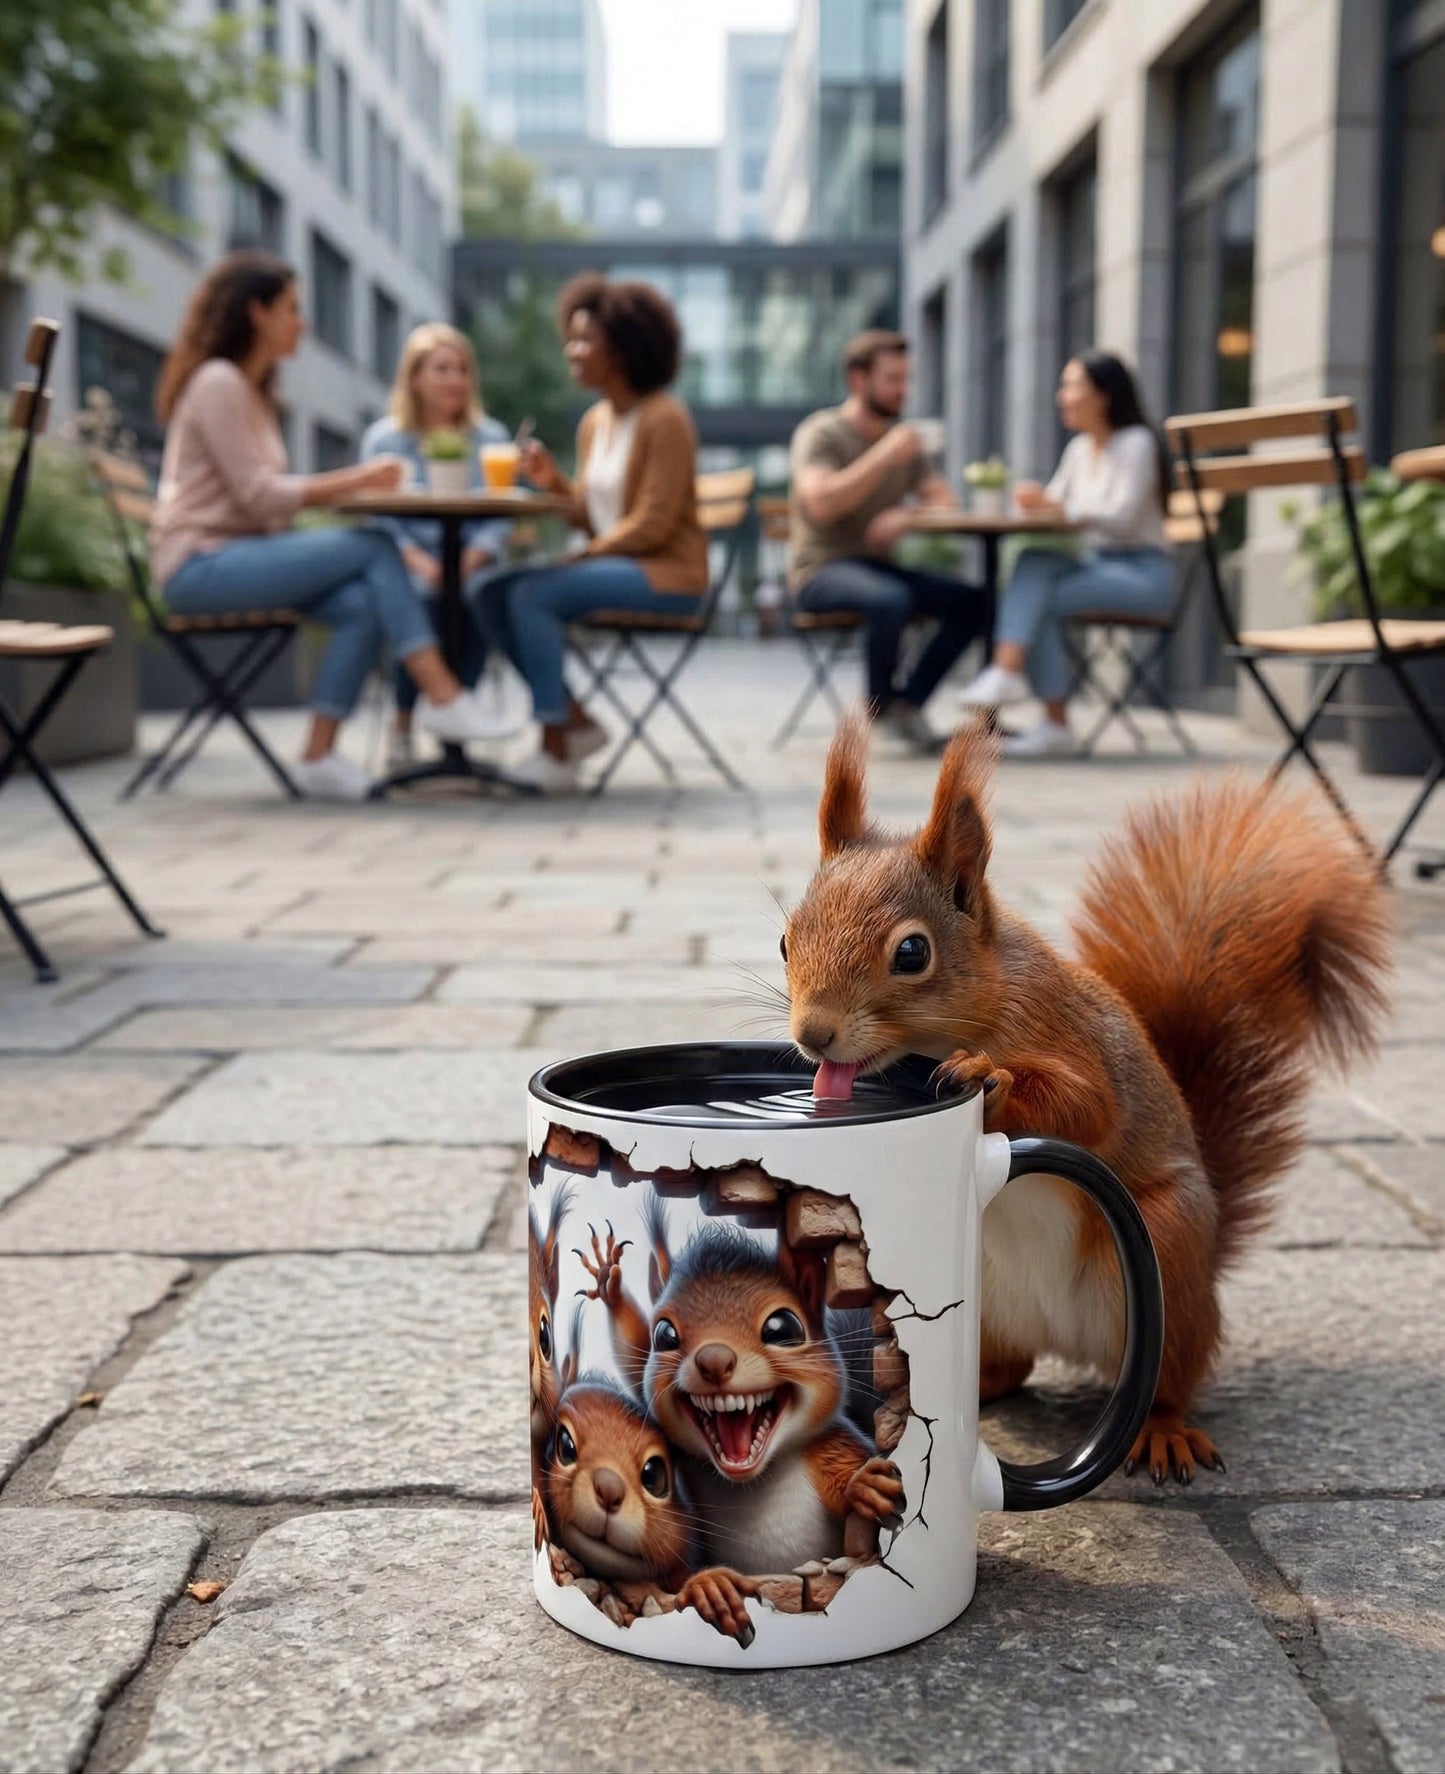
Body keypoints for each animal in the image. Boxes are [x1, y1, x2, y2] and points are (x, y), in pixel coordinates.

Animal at [579, 1202, 906, 1575]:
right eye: (664, 1335)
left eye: (783, 1328)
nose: (713, 1360)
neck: (751, 1480)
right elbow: (632, 1358)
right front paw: (610, 1283)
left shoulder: (830, 1451)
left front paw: (864, 1485)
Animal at [781, 713, 1392, 1483]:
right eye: (784, 940)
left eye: (912, 953)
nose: (813, 1035)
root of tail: (1063, 1337)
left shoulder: (1063, 1031)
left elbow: (1086, 1106)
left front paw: (989, 1077)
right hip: (991, 1308)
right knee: (1012, 1368)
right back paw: (969, 1396)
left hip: (1166, 1258)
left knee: (1170, 1378)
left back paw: (1161, 1430)